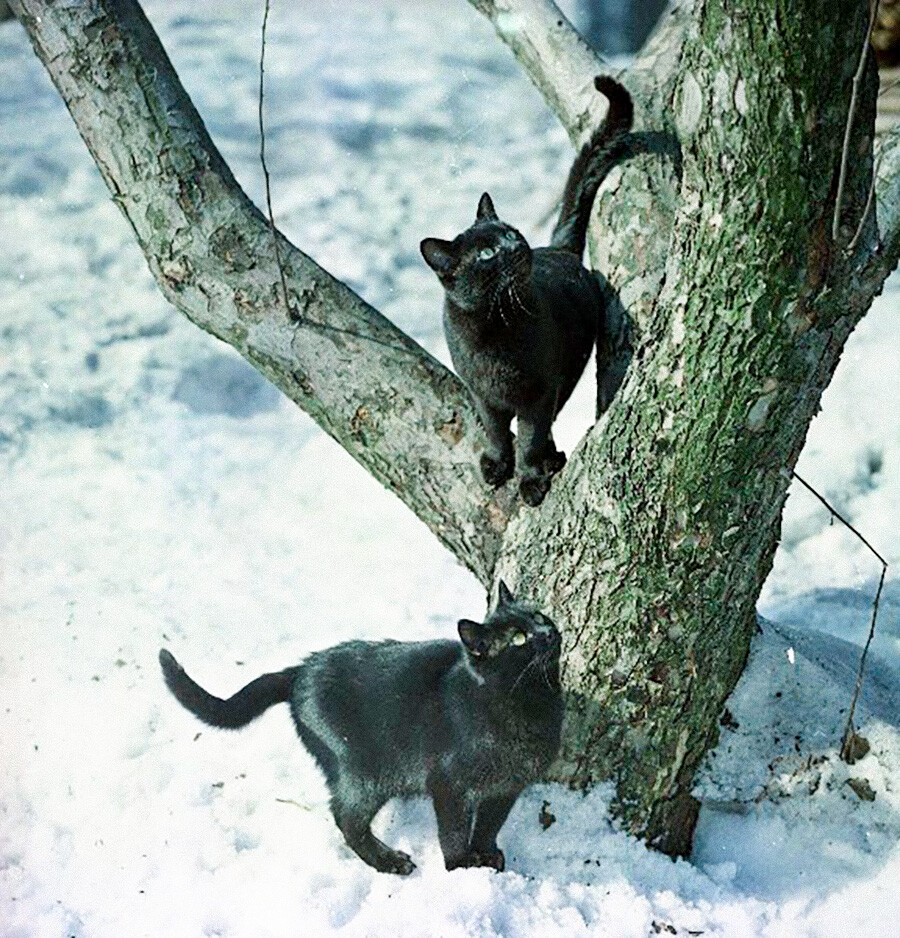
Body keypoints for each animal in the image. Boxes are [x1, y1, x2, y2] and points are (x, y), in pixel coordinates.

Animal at [158, 580, 560, 872]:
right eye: (518, 638)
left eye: (540, 615)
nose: (549, 631)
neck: (529, 704)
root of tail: (299, 671)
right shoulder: (449, 786)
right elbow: (455, 832)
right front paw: (461, 869)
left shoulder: (507, 788)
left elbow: (490, 824)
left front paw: (487, 856)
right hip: (365, 773)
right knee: (346, 817)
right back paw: (389, 861)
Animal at [422, 77, 632, 508]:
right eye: (487, 253)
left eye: (512, 233)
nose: (518, 247)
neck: (494, 332)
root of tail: (559, 249)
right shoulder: (483, 395)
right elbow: (497, 433)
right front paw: (497, 465)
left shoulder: (539, 393)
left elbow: (531, 438)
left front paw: (532, 479)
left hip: (569, 372)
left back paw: (551, 460)